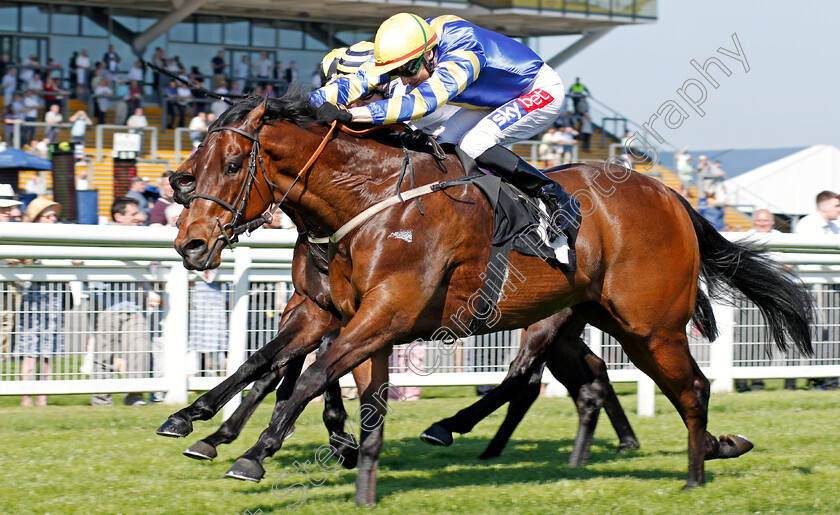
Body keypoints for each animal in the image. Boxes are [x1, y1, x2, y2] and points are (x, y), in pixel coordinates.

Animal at [161, 90, 812, 506]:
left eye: (234, 162)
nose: (191, 243)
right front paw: (197, 421)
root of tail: (673, 195)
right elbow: (266, 362)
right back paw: (709, 447)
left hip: (647, 325)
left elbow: (309, 374)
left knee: (684, 387)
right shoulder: (323, 310)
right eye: (188, 167)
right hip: (593, 317)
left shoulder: (386, 312)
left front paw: (255, 452)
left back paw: (694, 475)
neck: (368, 200)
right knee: (590, 380)